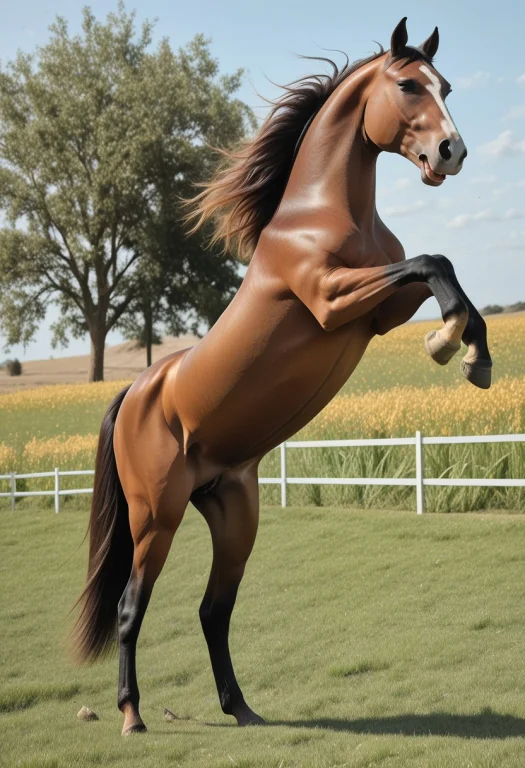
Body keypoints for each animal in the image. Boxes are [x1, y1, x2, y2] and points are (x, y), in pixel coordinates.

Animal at [73, 18, 492, 735]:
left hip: (234, 514)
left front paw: (474, 357)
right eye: (408, 85)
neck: (317, 214)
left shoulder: (378, 311)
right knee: (132, 606)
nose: (452, 150)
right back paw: (131, 715)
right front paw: (447, 345)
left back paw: (241, 708)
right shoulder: (330, 299)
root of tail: (132, 396)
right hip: (155, 516)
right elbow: (432, 261)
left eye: (446, 86)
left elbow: (444, 274)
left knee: (213, 610)